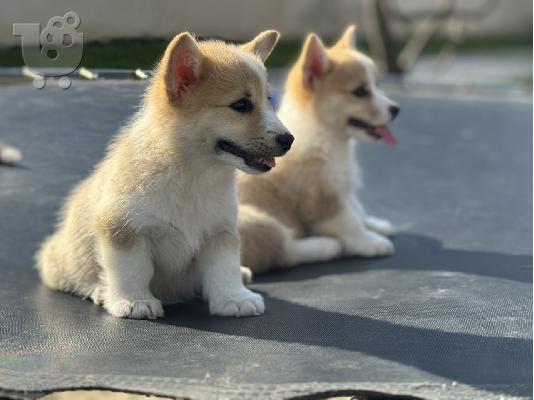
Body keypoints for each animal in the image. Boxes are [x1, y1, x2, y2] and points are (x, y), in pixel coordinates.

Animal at [37, 30, 294, 318]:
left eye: (268, 101)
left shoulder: (220, 231)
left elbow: (224, 268)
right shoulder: (123, 229)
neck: (193, 173)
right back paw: (99, 291)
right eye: (241, 105)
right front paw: (134, 302)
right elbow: (132, 269)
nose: (289, 140)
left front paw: (234, 299)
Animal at [241, 25, 400, 276]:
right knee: (281, 251)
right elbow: (349, 222)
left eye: (376, 85)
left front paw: (377, 225)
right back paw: (325, 246)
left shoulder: (343, 188)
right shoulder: (322, 199)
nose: (396, 109)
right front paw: (371, 242)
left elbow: (358, 211)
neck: (327, 136)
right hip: (255, 221)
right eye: (360, 92)